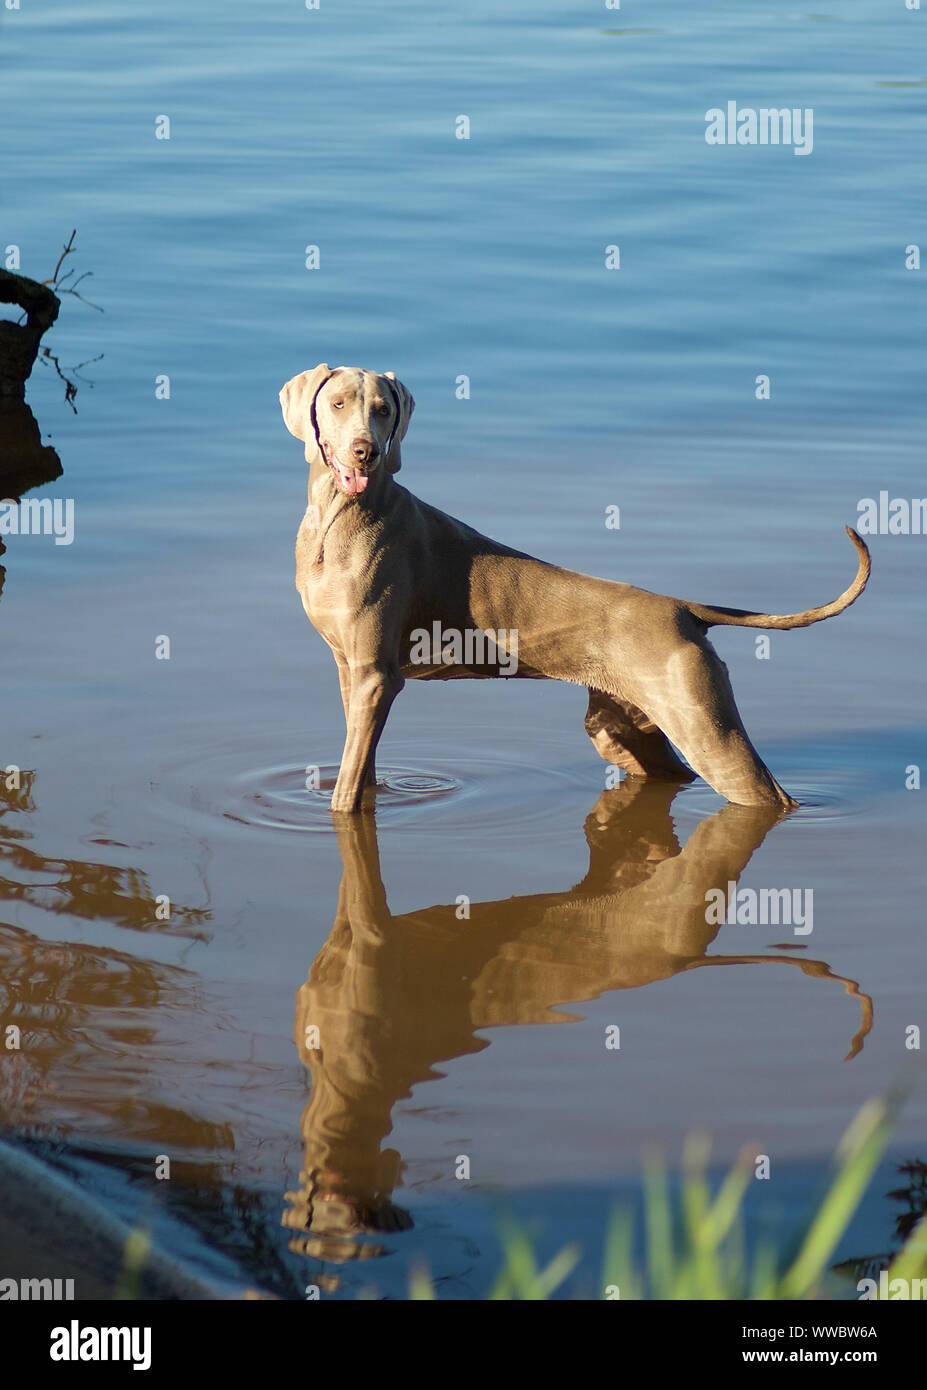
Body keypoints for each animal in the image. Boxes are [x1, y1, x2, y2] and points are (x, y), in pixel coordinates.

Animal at [280, 364, 872, 811]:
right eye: (337, 404)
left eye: (383, 410)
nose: (366, 451)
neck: (337, 517)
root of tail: (684, 609)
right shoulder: (351, 671)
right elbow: (362, 768)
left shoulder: (377, 678)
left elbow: (348, 785)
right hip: (621, 728)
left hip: (706, 727)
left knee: (767, 794)